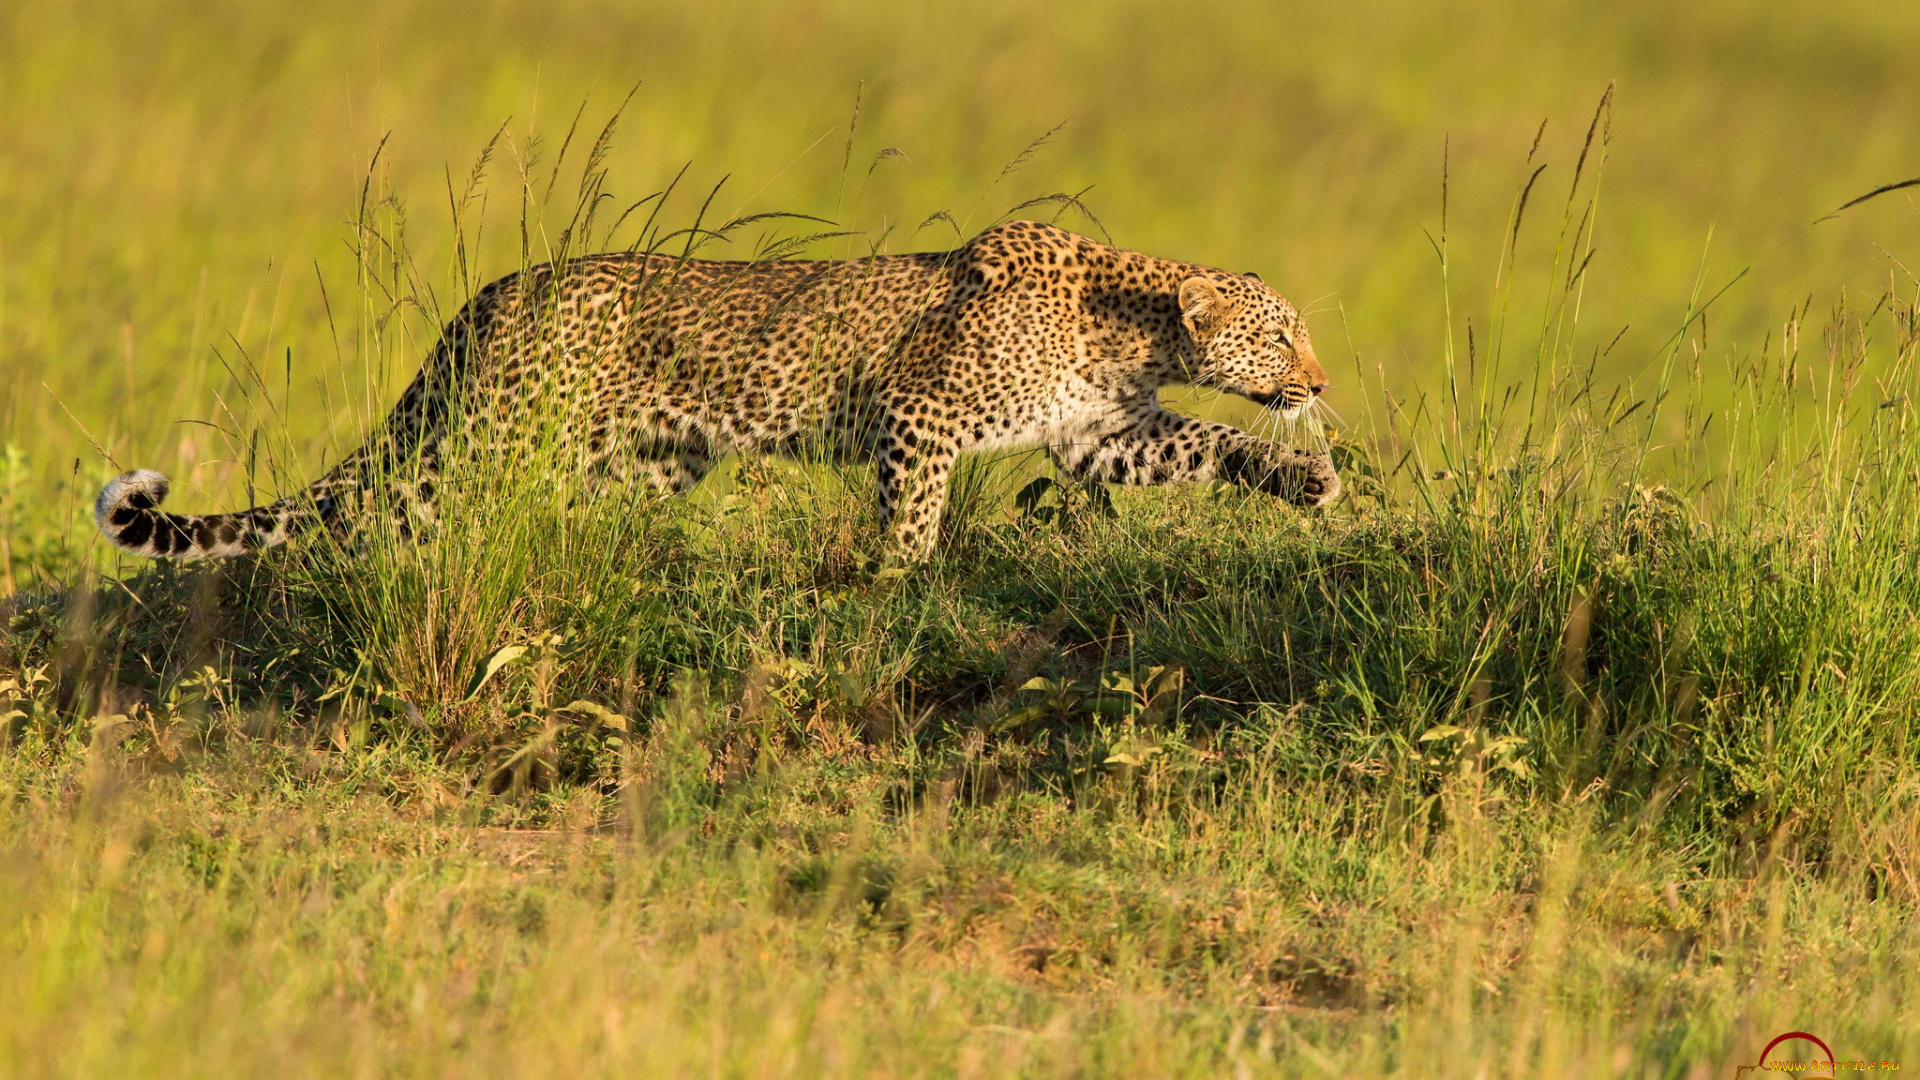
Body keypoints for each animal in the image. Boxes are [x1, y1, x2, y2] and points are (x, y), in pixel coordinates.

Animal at [97, 215, 1344, 557]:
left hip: (643, 462)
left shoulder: (1098, 436)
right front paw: (898, 583)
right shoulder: (921, 415)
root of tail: (497, 291)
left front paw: (1307, 481)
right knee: (389, 517)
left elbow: (1211, 447)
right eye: (1282, 337)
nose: (1321, 376)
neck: (1132, 332)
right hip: (490, 442)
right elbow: (913, 518)